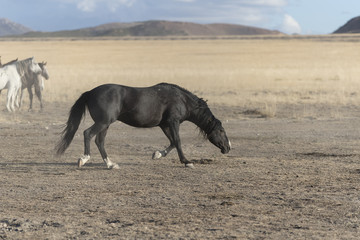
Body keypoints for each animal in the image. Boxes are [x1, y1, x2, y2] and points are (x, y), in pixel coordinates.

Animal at [56, 82, 231, 169]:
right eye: (221, 130)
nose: (228, 148)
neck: (182, 100)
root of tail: (90, 92)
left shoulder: (164, 125)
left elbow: (172, 142)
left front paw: (157, 154)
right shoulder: (173, 122)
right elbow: (178, 142)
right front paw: (187, 162)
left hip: (105, 124)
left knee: (100, 141)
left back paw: (110, 164)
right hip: (103, 122)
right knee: (88, 134)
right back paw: (84, 159)